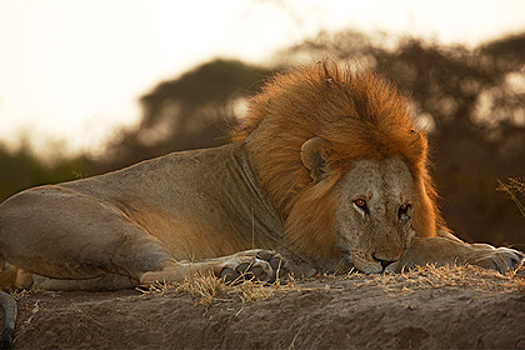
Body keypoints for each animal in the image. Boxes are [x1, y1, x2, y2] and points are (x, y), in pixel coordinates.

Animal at [0, 61, 520, 346]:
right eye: (359, 204)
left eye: (404, 209)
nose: (384, 261)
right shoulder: (324, 257)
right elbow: (426, 248)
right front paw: (497, 256)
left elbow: (436, 237)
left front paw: (487, 248)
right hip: (106, 226)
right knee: (155, 273)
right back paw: (247, 267)